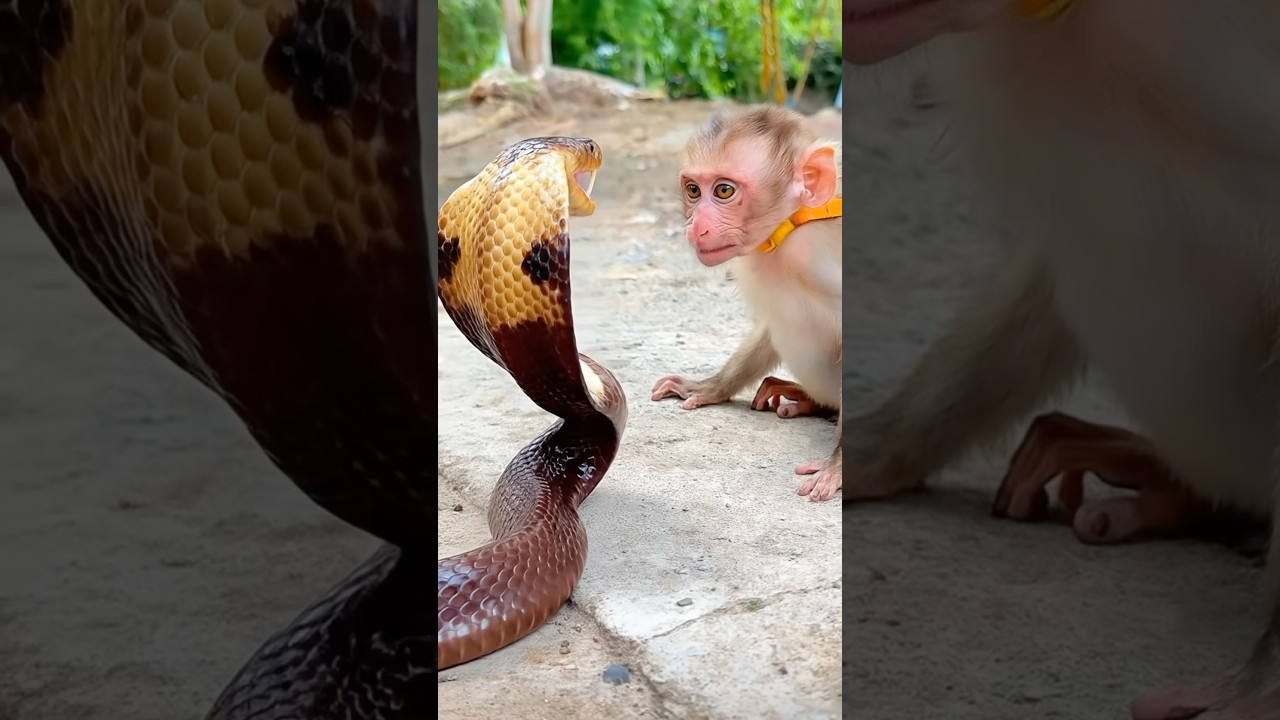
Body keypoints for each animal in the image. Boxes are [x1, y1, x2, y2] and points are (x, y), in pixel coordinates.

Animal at [650, 106, 844, 502]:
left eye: (724, 190)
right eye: (693, 190)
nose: (695, 228)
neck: (791, 228)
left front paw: (838, 466)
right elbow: (769, 327)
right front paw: (708, 387)